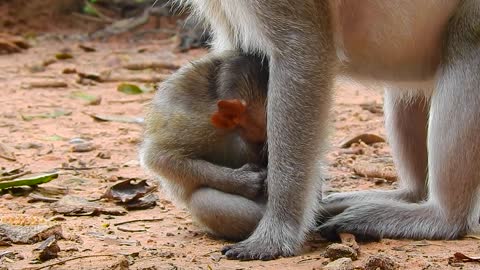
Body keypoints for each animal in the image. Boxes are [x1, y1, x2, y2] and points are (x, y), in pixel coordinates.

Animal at [176, 0, 480, 262]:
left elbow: (302, 50)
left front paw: (277, 231)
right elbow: (244, 55)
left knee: (466, 41)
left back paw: (443, 218)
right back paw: (407, 196)